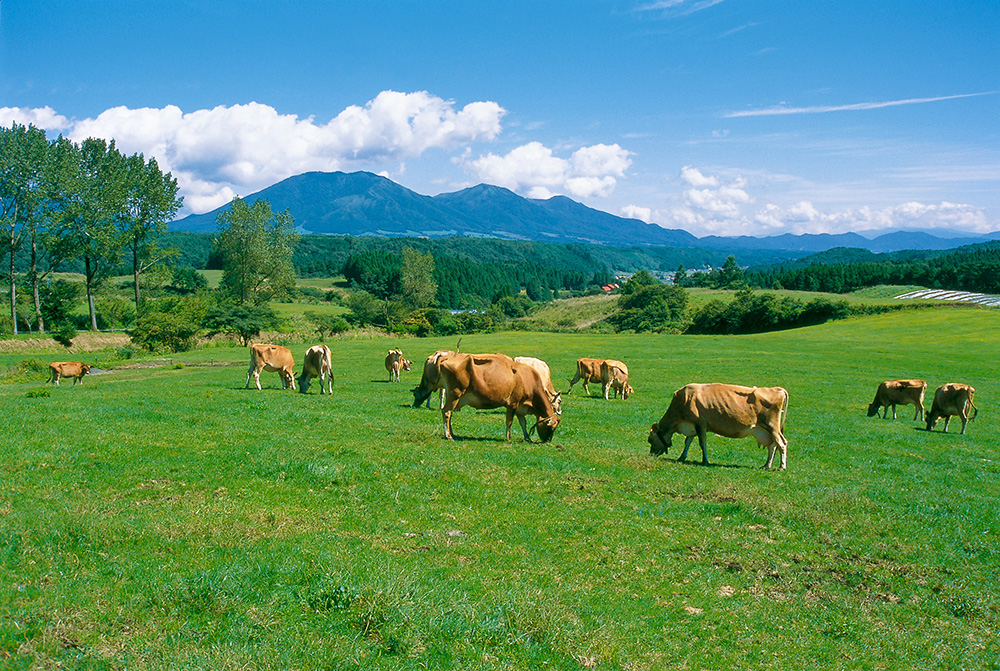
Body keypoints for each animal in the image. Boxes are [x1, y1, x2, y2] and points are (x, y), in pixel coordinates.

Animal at [648, 384, 788, 472]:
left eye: (650, 440)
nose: (651, 454)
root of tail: (778, 389)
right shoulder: (691, 426)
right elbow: (687, 442)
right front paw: (682, 457)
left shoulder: (701, 425)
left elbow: (702, 443)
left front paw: (705, 461)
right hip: (766, 431)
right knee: (772, 445)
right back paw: (766, 465)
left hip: (772, 427)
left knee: (782, 443)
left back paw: (782, 467)